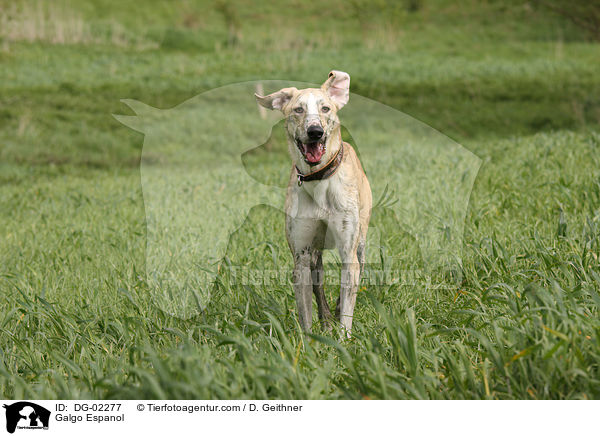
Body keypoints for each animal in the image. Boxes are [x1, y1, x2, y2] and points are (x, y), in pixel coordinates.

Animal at [256, 71, 372, 336]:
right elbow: (306, 310)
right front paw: (309, 340)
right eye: (298, 109)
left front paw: (343, 338)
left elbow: (347, 301)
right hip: (315, 256)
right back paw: (326, 320)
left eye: (325, 108)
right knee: (319, 286)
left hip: (361, 242)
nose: (315, 131)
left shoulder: (348, 250)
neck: (319, 179)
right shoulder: (301, 255)